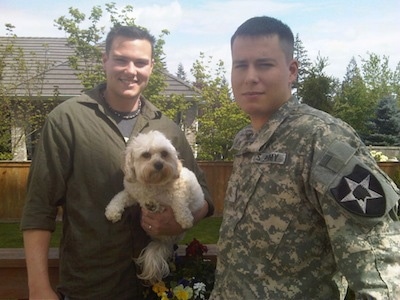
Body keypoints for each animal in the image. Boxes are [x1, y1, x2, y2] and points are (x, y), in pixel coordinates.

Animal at [104, 130, 205, 284]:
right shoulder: (132, 193)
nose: (159, 164)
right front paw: (112, 211)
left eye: (164, 154)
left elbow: (179, 201)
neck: (153, 183)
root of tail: (163, 242)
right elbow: (120, 197)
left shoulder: (180, 188)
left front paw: (185, 219)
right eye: (146, 155)